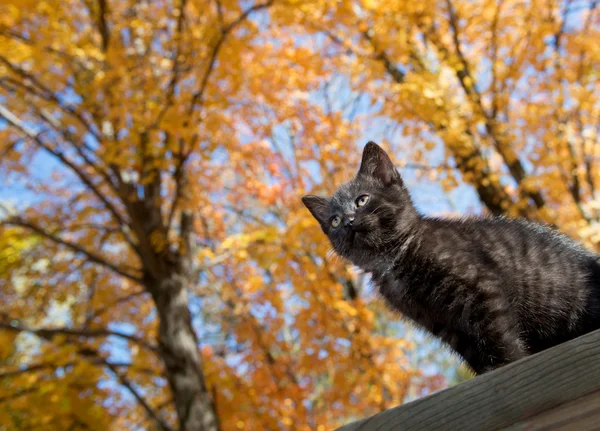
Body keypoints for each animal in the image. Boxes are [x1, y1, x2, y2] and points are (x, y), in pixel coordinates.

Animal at [302, 141, 600, 374]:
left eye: (362, 200)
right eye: (334, 220)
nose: (348, 221)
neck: (394, 259)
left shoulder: (482, 289)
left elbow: (497, 332)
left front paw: (507, 363)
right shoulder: (441, 322)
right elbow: (471, 349)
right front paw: (486, 370)